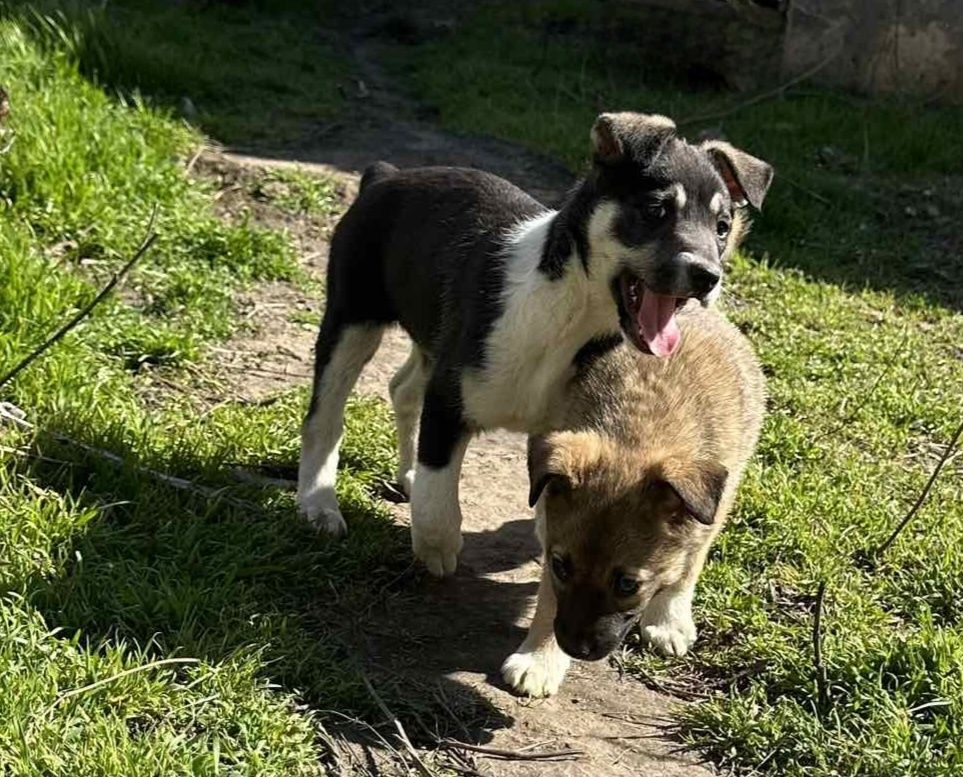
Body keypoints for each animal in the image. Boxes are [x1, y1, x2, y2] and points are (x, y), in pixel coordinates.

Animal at [298, 110, 772, 576]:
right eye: (656, 210)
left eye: (723, 228)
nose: (707, 277)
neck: (568, 310)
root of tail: (385, 175)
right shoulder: (450, 398)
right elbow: (438, 489)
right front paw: (437, 551)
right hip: (352, 320)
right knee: (324, 417)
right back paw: (318, 504)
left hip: (431, 336)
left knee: (402, 388)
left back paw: (403, 474)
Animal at [500, 304, 764, 696]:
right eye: (562, 567)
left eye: (627, 585)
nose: (573, 648)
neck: (639, 433)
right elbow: (549, 598)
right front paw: (540, 658)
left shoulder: (709, 515)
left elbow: (688, 566)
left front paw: (668, 618)